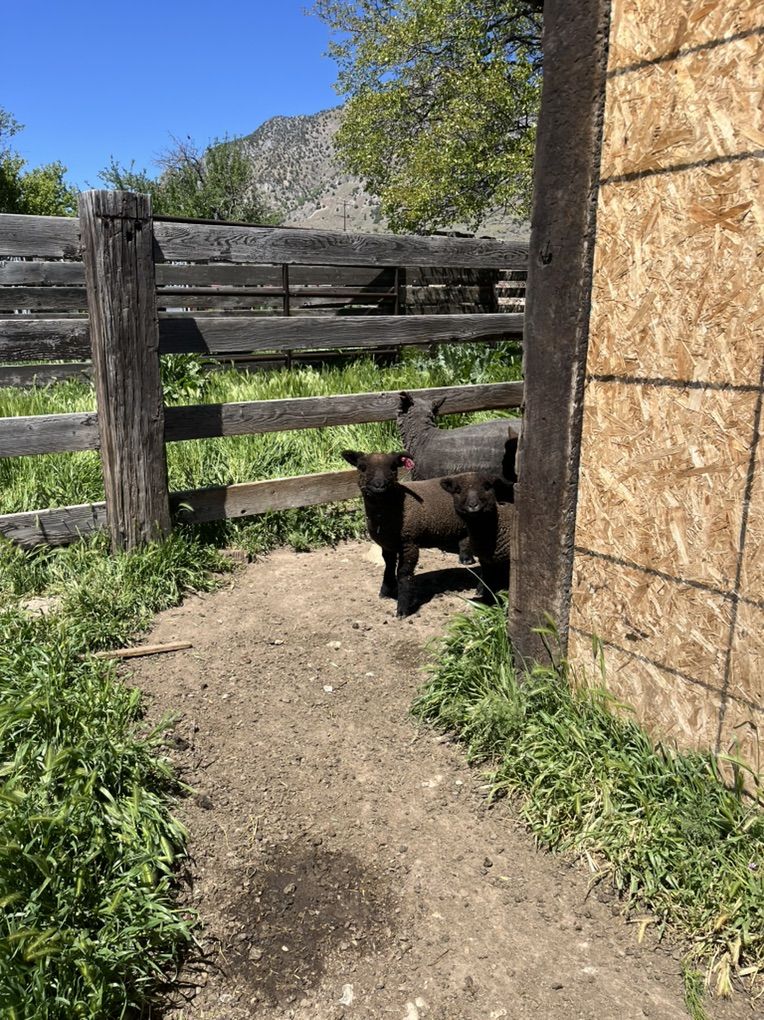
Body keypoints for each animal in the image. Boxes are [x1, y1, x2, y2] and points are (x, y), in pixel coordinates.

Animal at [342, 449, 468, 618]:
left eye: (393, 467)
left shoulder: (409, 543)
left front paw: (402, 609)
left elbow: (403, 573)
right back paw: (466, 560)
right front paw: (385, 591)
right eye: (362, 467)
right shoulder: (387, 544)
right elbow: (388, 566)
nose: (379, 486)